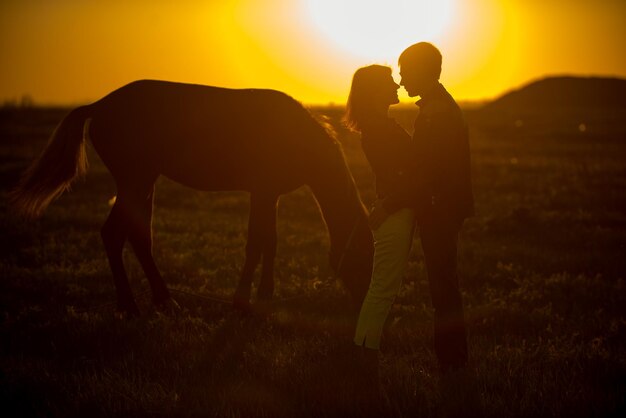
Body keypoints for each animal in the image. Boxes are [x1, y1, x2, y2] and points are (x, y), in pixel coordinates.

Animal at [9, 80, 372, 316]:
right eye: (362, 256)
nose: (361, 305)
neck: (296, 134)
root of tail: (99, 106)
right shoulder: (262, 192)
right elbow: (256, 243)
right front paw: (242, 300)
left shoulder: (269, 195)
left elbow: (270, 242)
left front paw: (265, 295)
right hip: (135, 181)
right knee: (113, 234)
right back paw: (131, 306)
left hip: (145, 182)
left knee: (139, 237)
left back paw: (163, 300)